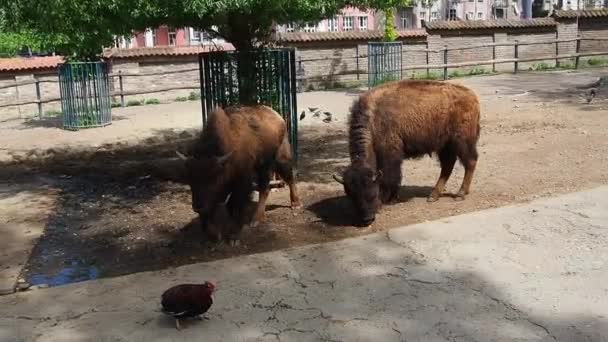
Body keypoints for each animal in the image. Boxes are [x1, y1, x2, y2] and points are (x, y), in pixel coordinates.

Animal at [177, 103, 302, 243]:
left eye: (213, 178)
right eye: (190, 179)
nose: (198, 206)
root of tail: (277, 116)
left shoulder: (242, 182)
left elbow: (234, 205)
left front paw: (233, 236)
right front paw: (214, 235)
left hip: (278, 159)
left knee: (284, 180)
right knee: (268, 187)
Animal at [332, 79, 480, 226]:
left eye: (372, 193)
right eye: (351, 196)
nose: (367, 219)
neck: (372, 118)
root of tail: (472, 97)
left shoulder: (390, 154)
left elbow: (390, 176)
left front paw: (388, 199)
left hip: (462, 142)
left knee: (470, 162)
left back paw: (460, 194)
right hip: (445, 146)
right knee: (447, 166)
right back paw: (433, 196)